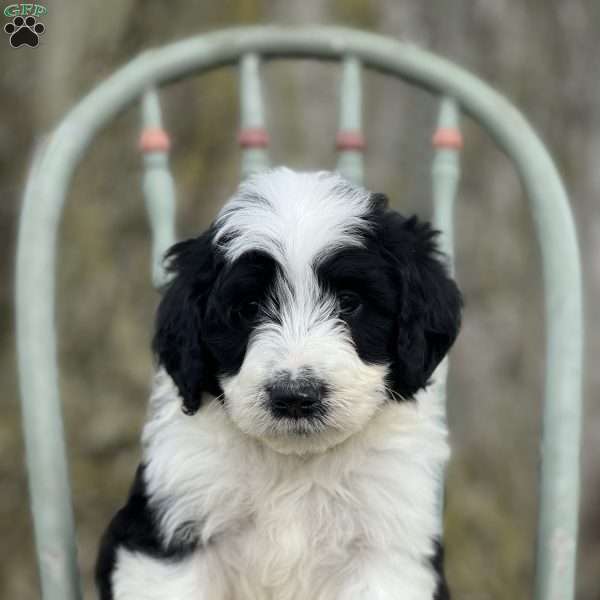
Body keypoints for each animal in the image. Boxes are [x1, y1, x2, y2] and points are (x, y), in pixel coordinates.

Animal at [96, 168, 462, 600]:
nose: (295, 397)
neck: (295, 465)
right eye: (249, 308)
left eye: (350, 302)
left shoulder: (389, 549)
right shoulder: (172, 533)